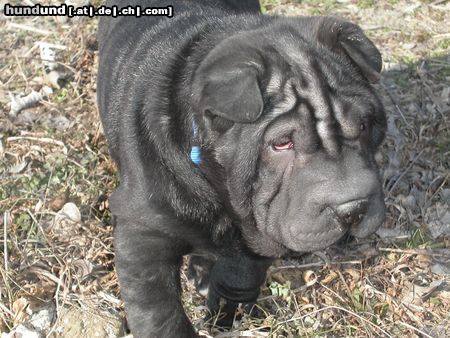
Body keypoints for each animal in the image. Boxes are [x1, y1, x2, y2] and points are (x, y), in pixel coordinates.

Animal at [96, 0, 384, 336]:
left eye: (364, 125)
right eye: (282, 143)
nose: (353, 207)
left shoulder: (258, 224)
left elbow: (241, 272)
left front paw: (225, 309)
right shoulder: (141, 229)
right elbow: (158, 311)